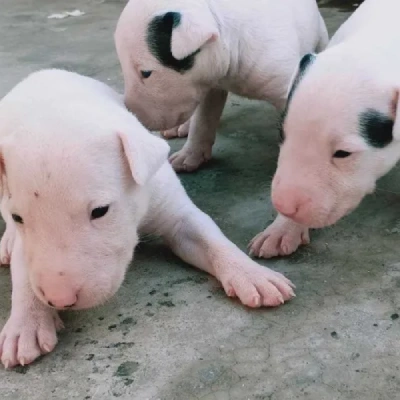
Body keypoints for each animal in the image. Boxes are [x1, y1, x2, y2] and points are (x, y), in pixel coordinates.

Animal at [0, 69, 294, 368]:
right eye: (19, 216)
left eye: (100, 211)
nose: (60, 299)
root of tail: (44, 72)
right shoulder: (25, 238)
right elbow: (23, 270)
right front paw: (26, 325)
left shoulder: (177, 211)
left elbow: (211, 240)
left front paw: (254, 275)